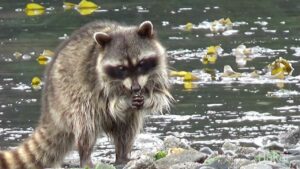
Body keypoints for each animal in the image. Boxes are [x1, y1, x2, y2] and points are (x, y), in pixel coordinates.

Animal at [0, 20, 172, 168]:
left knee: (127, 128)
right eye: (121, 68)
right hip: (68, 96)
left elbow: (160, 95)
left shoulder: (157, 72)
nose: (136, 89)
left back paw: (122, 155)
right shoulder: (95, 79)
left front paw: (149, 98)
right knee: (86, 122)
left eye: (141, 63)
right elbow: (108, 103)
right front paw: (121, 101)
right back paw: (86, 157)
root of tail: (50, 104)